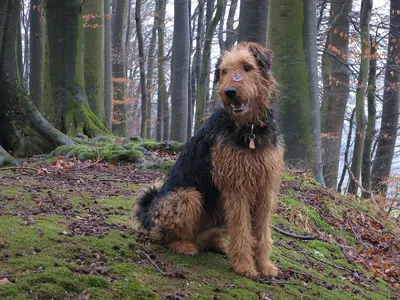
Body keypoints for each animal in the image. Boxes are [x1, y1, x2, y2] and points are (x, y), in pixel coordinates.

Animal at [134, 41, 284, 276]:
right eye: (224, 71)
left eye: (247, 67)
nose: (229, 92)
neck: (249, 130)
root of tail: (147, 214)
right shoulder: (237, 189)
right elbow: (242, 230)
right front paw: (245, 266)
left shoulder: (265, 189)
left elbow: (262, 232)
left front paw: (265, 266)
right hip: (188, 196)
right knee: (163, 236)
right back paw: (184, 245)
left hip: (219, 207)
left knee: (209, 236)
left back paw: (218, 244)